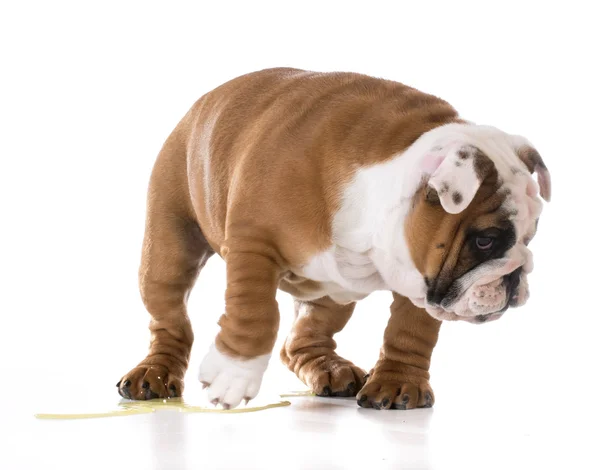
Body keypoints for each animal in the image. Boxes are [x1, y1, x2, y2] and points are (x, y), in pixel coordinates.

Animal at [115, 68, 552, 410]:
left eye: (530, 236)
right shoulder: (253, 244)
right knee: (169, 319)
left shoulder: (419, 275)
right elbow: (254, 312)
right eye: (486, 240)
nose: (516, 276)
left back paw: (331, 369)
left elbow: (411, 330)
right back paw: (154, 374)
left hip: (330, 291)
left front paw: (399, 382)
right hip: (169, 251)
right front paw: (235, 374)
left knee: (302, 339)